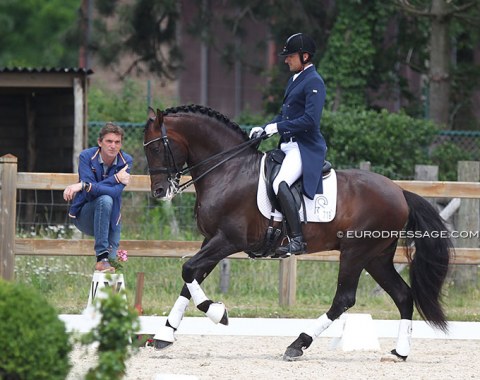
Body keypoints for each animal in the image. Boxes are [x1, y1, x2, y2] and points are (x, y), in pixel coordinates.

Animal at [144, 104, 452, 362]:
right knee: (403, 295)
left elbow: (187, 270)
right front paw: (165, 334)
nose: (159, 191)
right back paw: (400, 352)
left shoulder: (228, 240)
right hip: (376, 257)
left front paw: (218, 313)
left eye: (157, 148)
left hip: (356, 252)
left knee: (344, 299)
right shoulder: (211, 240)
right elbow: (191, 278)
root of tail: (400, 191)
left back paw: (298, 344)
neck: (229, 171)